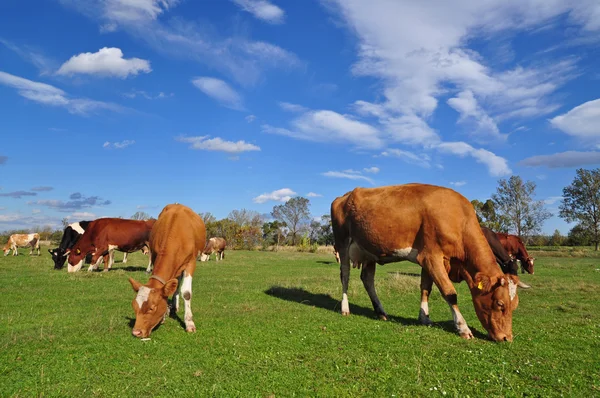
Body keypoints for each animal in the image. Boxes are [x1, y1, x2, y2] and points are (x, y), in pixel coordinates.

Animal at [127, 204, 205, 338]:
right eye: (134, 306)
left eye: (152, 308)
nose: (136, 332)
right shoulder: (154, 255)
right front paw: (164, 315)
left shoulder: (191, 262)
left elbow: (186, 293)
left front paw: (189, 323)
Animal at [332, 184, 520, 342]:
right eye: (500, 304)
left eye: (514, 305)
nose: (507, 338)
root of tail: (345, 195)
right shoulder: (431, 257)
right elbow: (449, 293)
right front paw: (463, 327)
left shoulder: (428, 260)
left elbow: (425, 288)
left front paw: (424, 318)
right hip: (342, 243)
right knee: (345, 275)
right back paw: (345, 308)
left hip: (370, 251)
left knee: (367, 279)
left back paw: (381, 311)